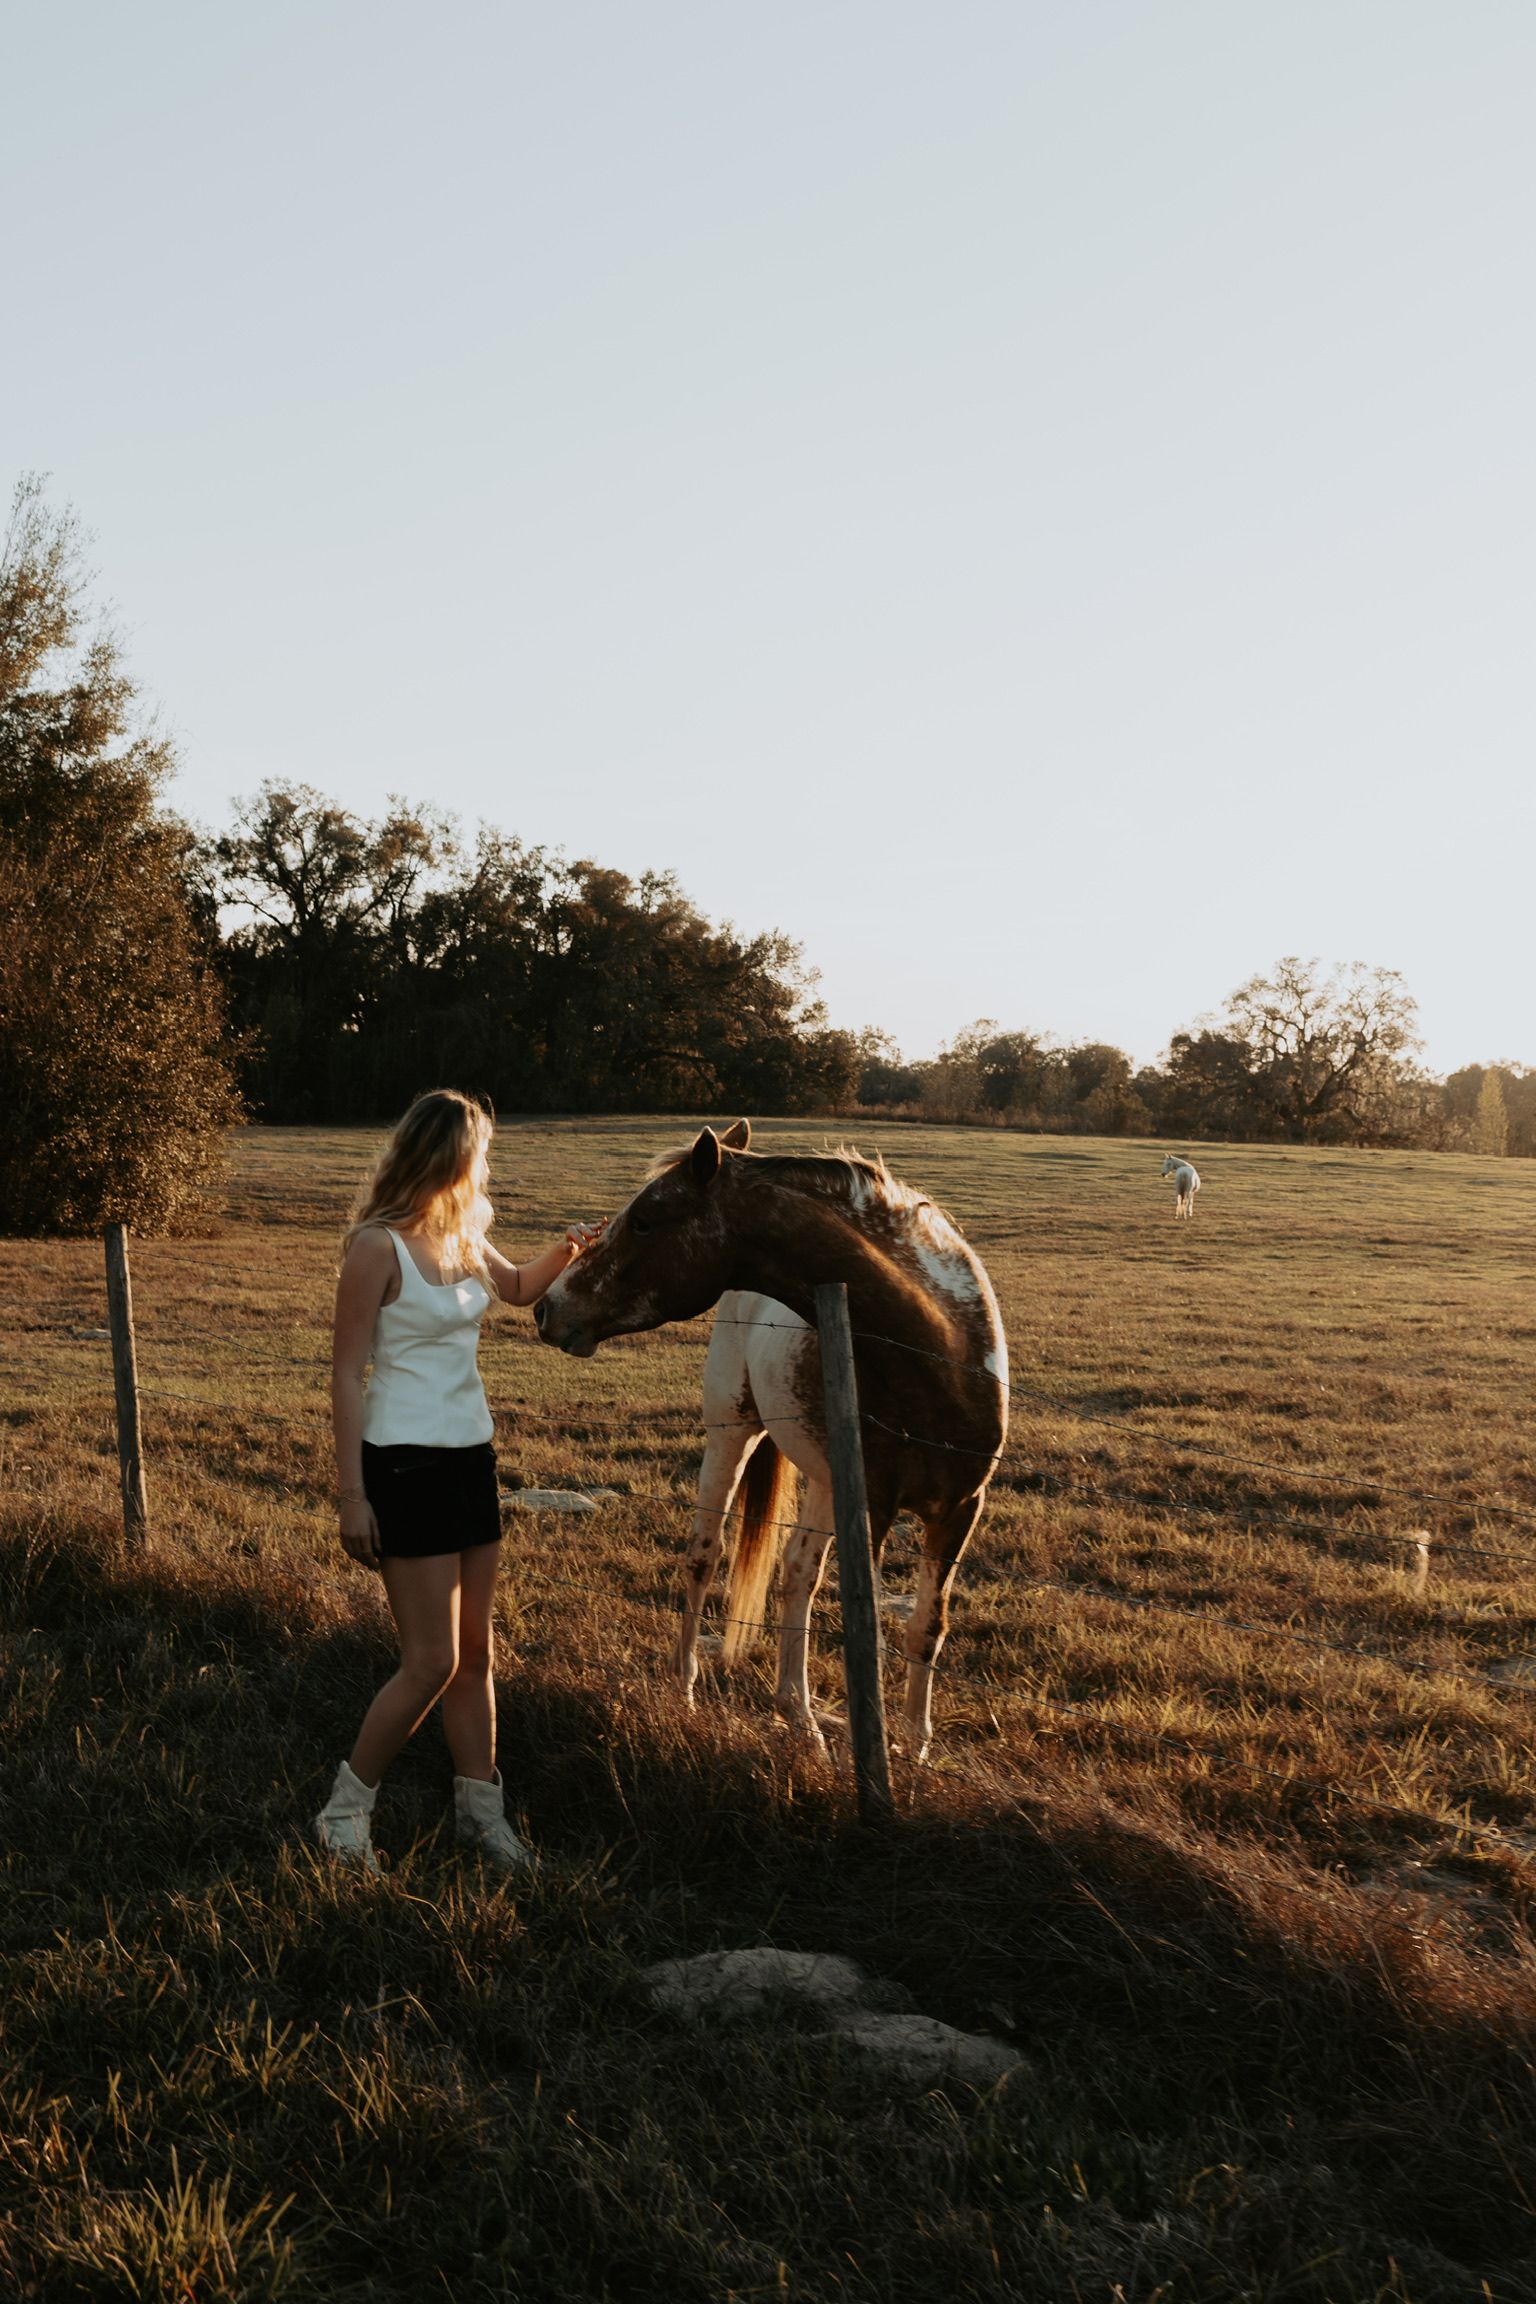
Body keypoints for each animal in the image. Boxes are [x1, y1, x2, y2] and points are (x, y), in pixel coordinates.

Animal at [534, 1121, 1009, 1761]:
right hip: (732, 1435)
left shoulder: (959, 1508)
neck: (935, 1355)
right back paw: (686, 1689)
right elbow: (867, 1627)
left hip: (826, 1480)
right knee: (705, 1554)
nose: (547, 1307)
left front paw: (913, 1750)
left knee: (797, 1571)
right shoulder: (874, 1507)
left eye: (644, 1221)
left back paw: (800, 1716)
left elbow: (925, 1627)